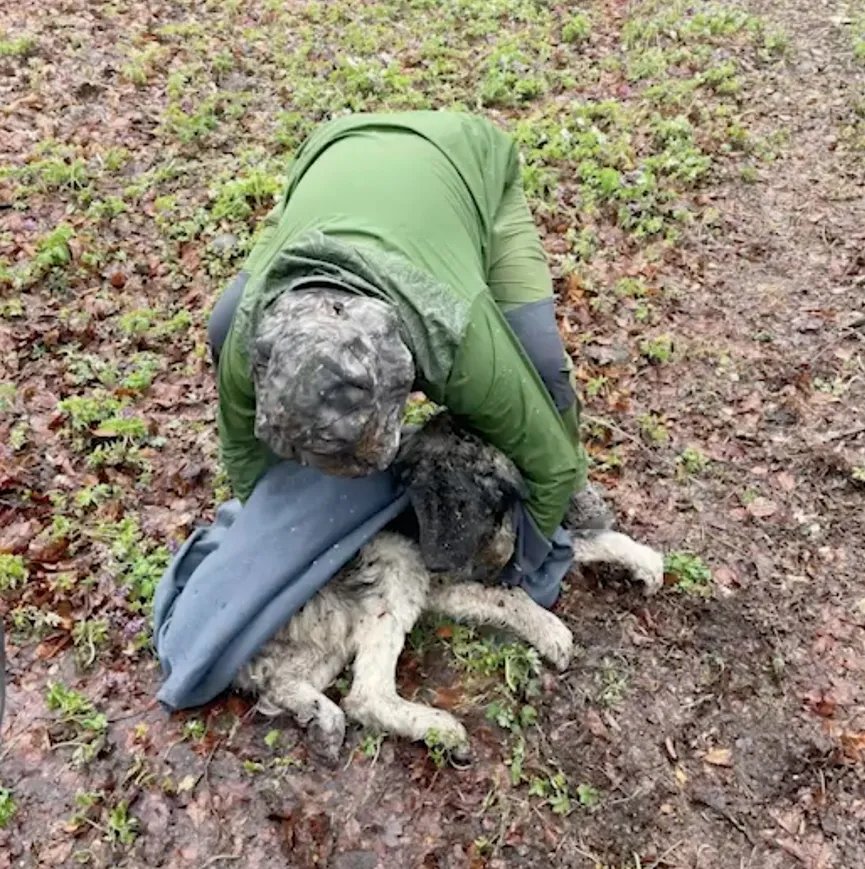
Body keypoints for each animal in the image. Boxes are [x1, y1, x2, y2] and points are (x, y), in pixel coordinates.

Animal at [235, 410, 660, 756]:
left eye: (459, 504)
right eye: (417, 498)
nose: (434, 560)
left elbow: (590, 541)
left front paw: (645, 561)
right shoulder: (442, 584)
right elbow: (510, 596)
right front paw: (550, 629)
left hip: (334, 633)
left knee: (279, 682)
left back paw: (321, 717)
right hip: (397, 563)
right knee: (365, 696)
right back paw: (438, 729)